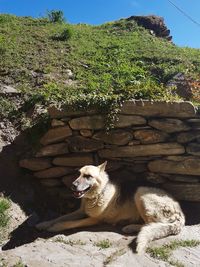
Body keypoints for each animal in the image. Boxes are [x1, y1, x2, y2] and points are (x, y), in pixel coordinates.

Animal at [36, 162, 184, 254]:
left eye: (88, 176)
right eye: (79, 174)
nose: (73, 185)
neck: (98, 194)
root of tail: (180, 214)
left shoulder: (94, 220)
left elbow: (70, 223)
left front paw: (56, 227)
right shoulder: (80, 211)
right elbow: (61, 217)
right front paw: (44, 223)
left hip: (140, 192)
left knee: (151, 224)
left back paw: (130, 227)